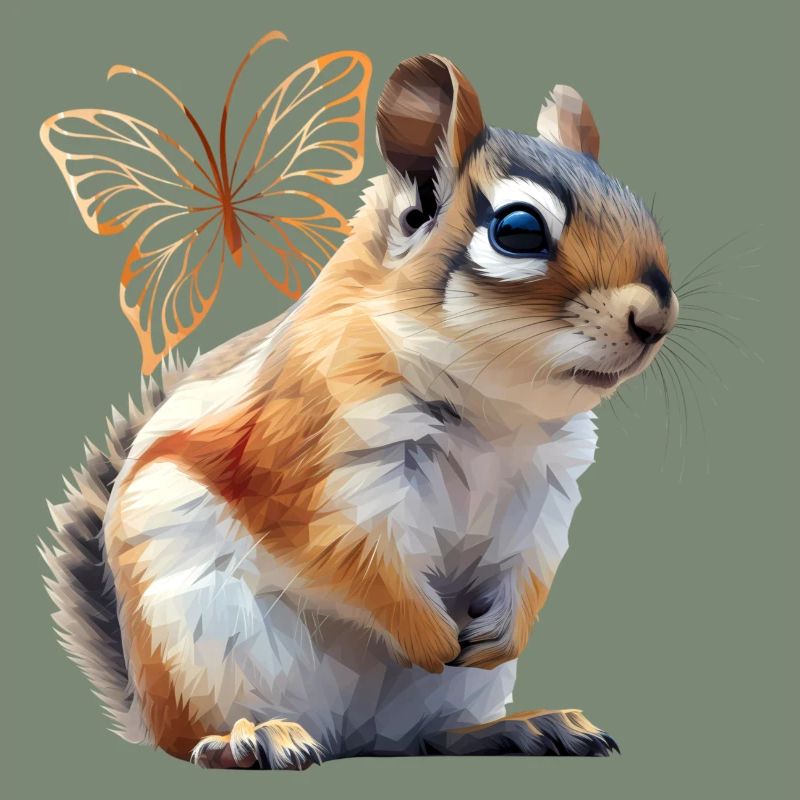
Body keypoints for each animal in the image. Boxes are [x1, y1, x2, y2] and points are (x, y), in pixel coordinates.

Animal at [41, 54, 678, 768]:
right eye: (518, 230)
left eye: (637, 207)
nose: (656, 318)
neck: (496, 411)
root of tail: (352, 738)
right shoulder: (315, 458)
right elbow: (354, 560)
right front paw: (429, 634)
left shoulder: (545, 487)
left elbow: (533, 563)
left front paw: (506, 631)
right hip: (206, 648)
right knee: (202, 737)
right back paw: (252, 737)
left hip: (447, 699)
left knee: (431, 738)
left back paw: (524, 727)